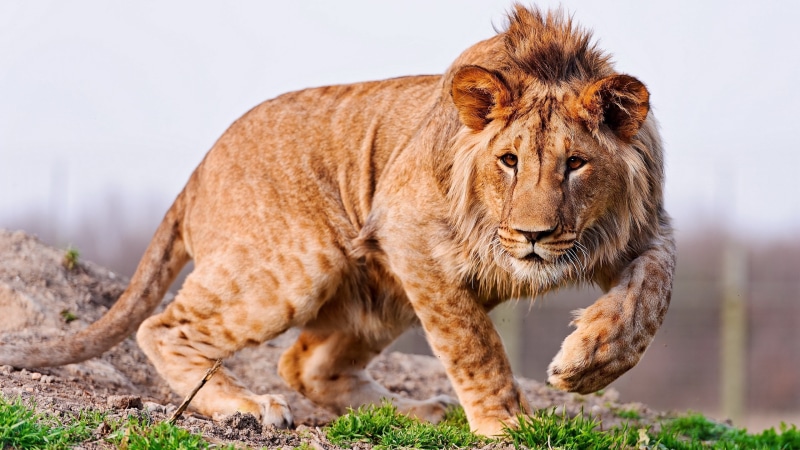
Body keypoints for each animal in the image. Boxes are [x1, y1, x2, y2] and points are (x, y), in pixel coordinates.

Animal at [0, 5, 674, 436]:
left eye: (576, 164)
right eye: (509, 161)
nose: (535, 236)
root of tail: (199, 170)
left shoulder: (644, 228)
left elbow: (652, 295)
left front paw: (588, 362)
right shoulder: (409, 232)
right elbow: (475, 344)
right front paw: (505, 425)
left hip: (381, 295)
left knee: (304, 364)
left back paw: (416, 412)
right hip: (303, 263)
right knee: (165, 327)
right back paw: (247, 406)